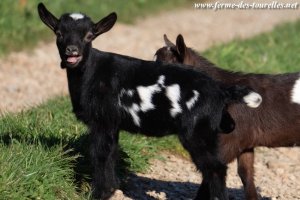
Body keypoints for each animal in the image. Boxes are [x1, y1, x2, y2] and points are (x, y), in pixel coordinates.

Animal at [37, 3, 262, 199]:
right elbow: (111, 156)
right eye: (58, 33)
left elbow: (99, 156)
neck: (90, 73)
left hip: (195, 132)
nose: (72, 51)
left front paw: (99, 193)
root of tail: (220, 90)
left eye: (89, 35)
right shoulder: (112, 124)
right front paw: (111, 188)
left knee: (215, 169)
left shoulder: (102, 122)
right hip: (210, 134)